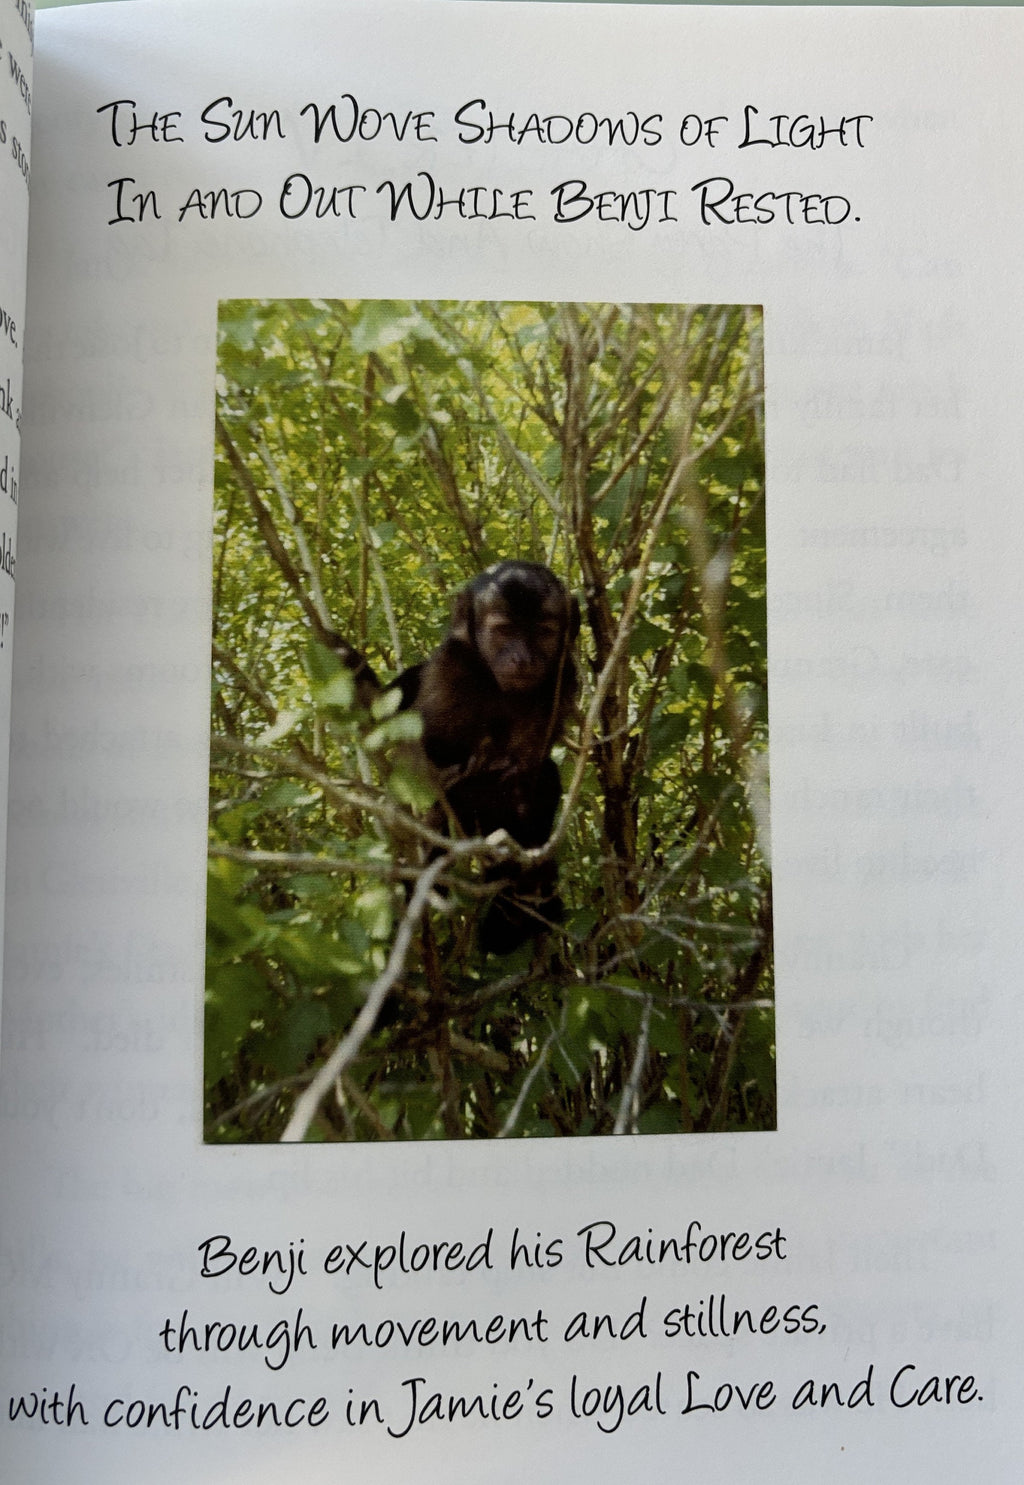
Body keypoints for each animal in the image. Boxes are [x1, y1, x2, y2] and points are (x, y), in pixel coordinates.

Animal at [398, 561, 580, 955]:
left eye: (543, 632)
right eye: (504, 631)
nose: (522, 658)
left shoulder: (563, 677)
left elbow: (527, 768)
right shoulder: (452, 672)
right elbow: (427, 767)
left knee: (542, 778)